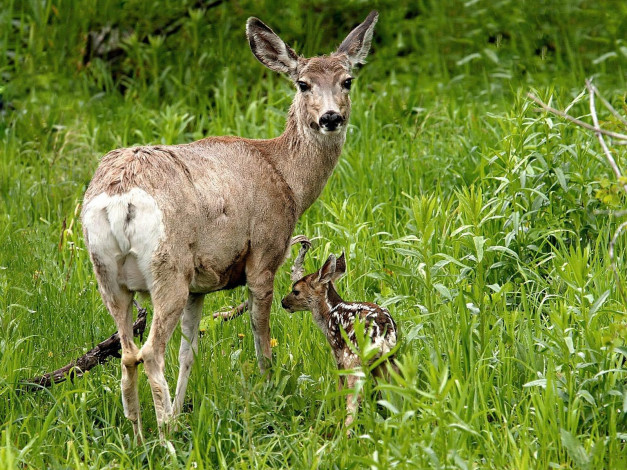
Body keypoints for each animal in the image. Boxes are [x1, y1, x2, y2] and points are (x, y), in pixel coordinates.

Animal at [81, 11, 380, 438]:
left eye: (348, 80)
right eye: (302, 83)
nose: (330, 117)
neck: (286, 177)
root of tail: (120, 198)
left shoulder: (200, 285)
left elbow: (189, 352)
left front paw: (179, 412)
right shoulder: (265, 253)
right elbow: (261, 334)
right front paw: (269, 391)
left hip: (109, 275)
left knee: (127, 355)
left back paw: (140, 437)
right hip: (167, 267)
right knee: (150, 351)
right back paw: (165, 440)